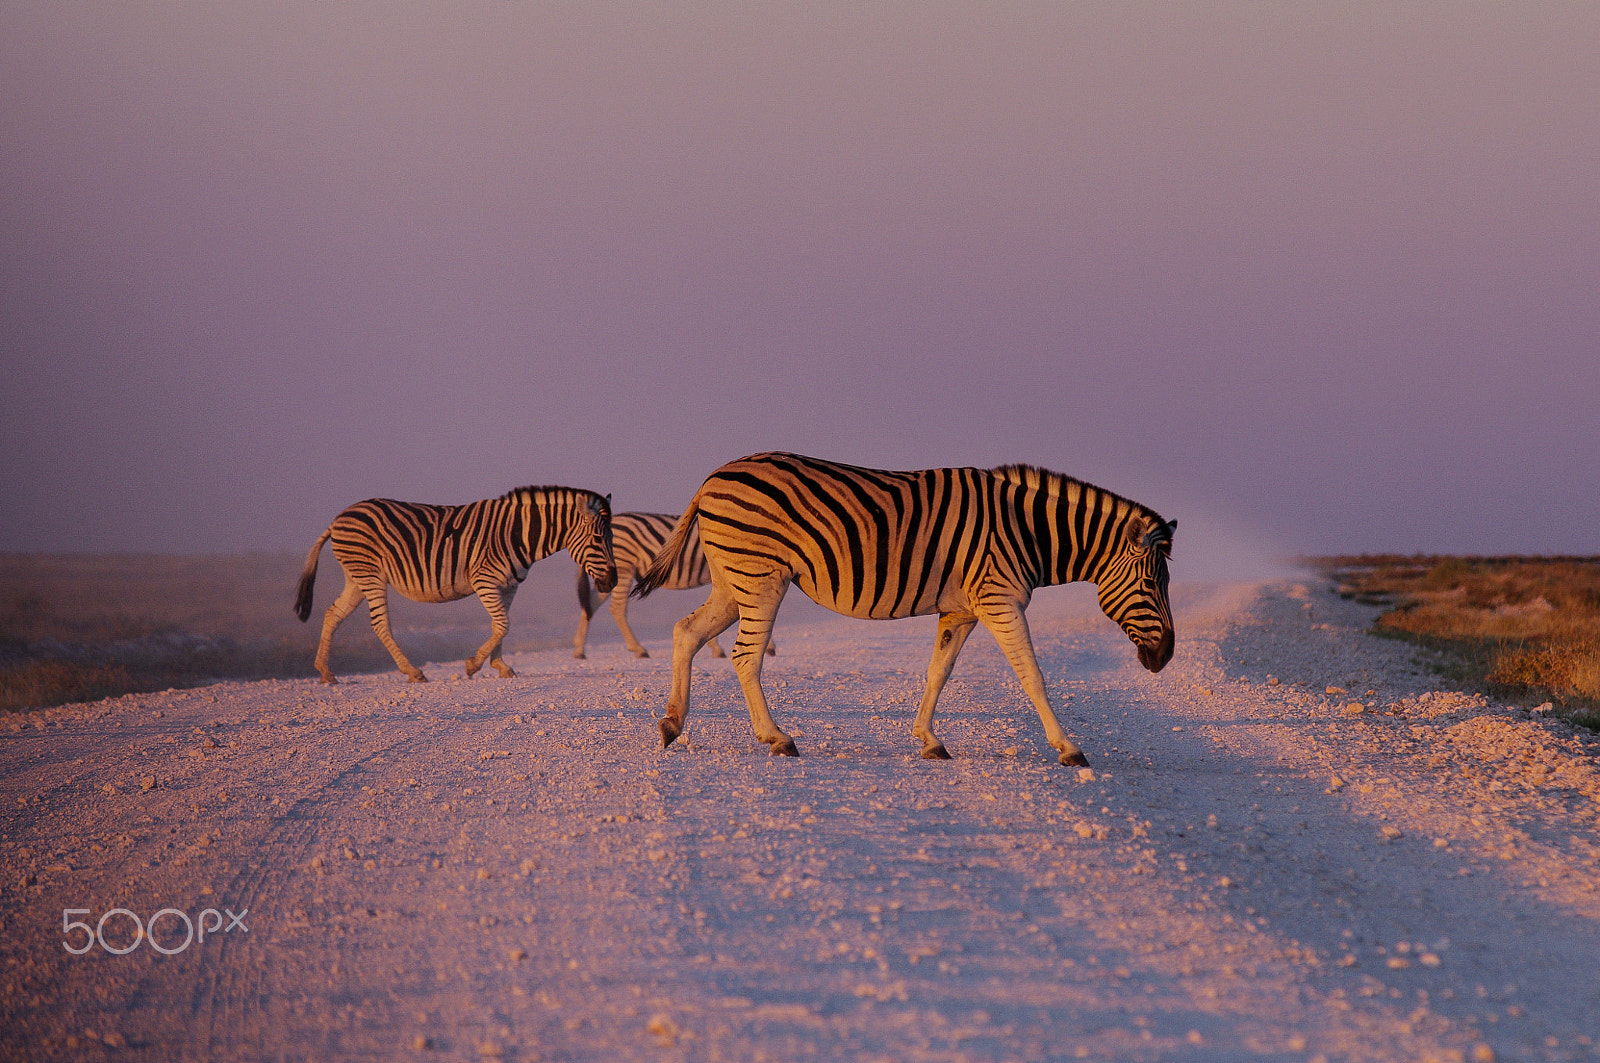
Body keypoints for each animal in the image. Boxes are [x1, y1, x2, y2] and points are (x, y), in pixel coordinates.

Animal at [295, 486, 616, 684]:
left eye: (611, 539)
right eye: (598, 539)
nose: (612, 581)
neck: (520, 533)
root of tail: (338, 518)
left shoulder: (509, 585)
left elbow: (500, 625)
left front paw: (500, 666)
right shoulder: (485, 579)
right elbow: (502, 625)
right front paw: (473, 664)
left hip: (356, 577)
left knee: (332, 614)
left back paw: (325, 672)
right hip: (370, 573)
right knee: (379, 623)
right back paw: (413, 671)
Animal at [633, 452, 1175, 766]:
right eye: (1151, 583)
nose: (1166, 655)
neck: (1029, 531)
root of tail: (713, 477)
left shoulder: (961, 611)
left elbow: (938, 672)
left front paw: (928, 740)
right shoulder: (999, 598)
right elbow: (1032, 675)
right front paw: (1069, 748)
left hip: (733, 580)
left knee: (686, 631)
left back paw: (672, 724)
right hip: (761, 577)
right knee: (745, 656)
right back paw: (777, 738)